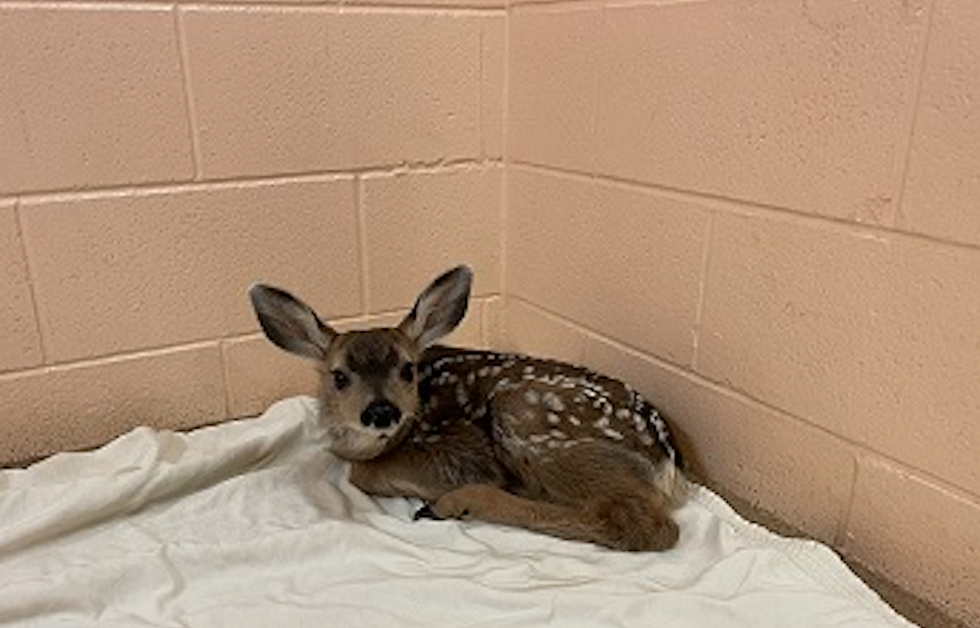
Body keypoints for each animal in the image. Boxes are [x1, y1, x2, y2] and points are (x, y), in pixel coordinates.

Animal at [249, 265, 689, 551]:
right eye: (338, 376)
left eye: (407, 369)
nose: (380, 411)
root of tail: (667, 459)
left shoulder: (457, 450)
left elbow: (365, 474)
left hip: (532, 419)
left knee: (644, 525)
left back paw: (455, 503)